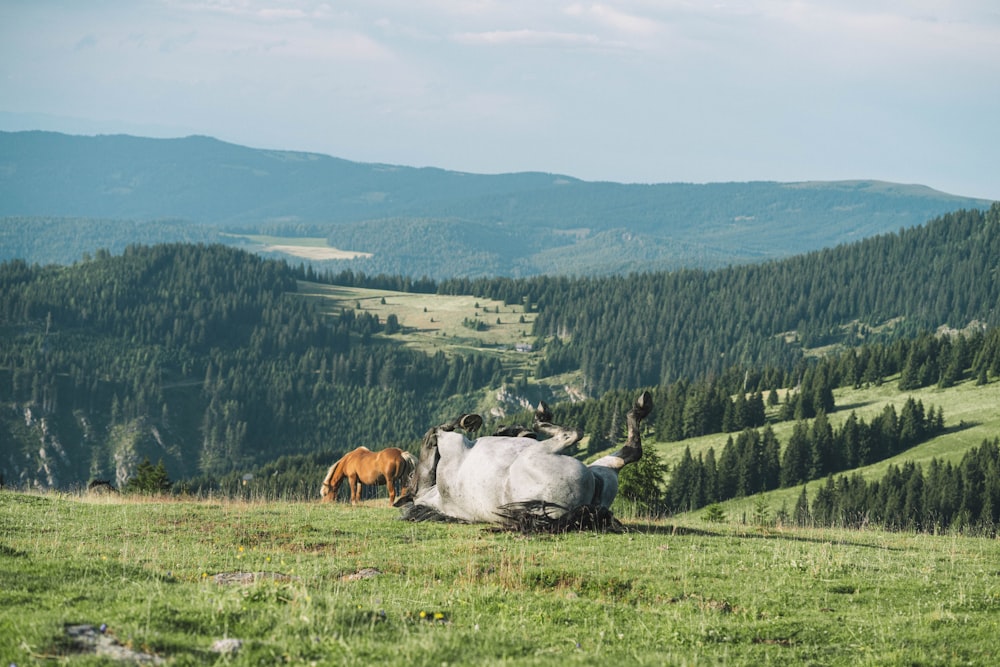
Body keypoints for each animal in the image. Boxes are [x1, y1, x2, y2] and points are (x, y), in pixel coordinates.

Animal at [394, 392, 652, 532]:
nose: (504, 428)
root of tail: (585, 509)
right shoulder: (447, 441)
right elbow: (436, 430)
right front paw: (467, 420)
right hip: (552, 456)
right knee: (573, 434)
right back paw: (542, 417)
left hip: (603, 471)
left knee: (630, 452)